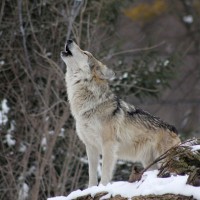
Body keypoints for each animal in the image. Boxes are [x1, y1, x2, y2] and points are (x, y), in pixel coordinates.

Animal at [60, 39, 180, 187]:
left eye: (85, 53)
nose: (69, 40)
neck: (90, 105)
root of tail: (174, 129)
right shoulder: (91, 146)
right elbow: (92, 175)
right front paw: (91, 189)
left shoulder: (108, 145)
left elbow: (105, 173)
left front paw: (102, 188)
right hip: (149, 163)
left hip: (162, 159)